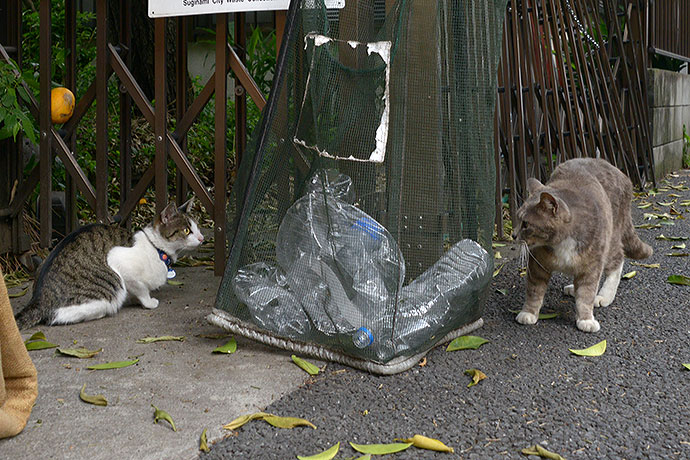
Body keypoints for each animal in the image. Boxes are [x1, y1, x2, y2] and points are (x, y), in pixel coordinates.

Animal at [14, 200, 203, 328]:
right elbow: (141, 290)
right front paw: (149, 302)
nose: (202, 238)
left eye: (197, 228)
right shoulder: (122, 266)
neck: (156, 248)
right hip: (110, 291)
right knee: (57, 316)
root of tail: (39, 299)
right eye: (186, 230)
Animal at [510, 158, 652, 330]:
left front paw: (586, 320)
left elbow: (586, 294)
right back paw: (573, 288)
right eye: (517, 219)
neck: (561, 242)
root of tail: (622, 174)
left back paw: (604, 296)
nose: (513, 235)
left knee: (618, 258)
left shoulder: (592, 264)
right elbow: (534, 290)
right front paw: (528, 313)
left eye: (525, 224)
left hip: (611, 237)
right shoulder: (537, 264)